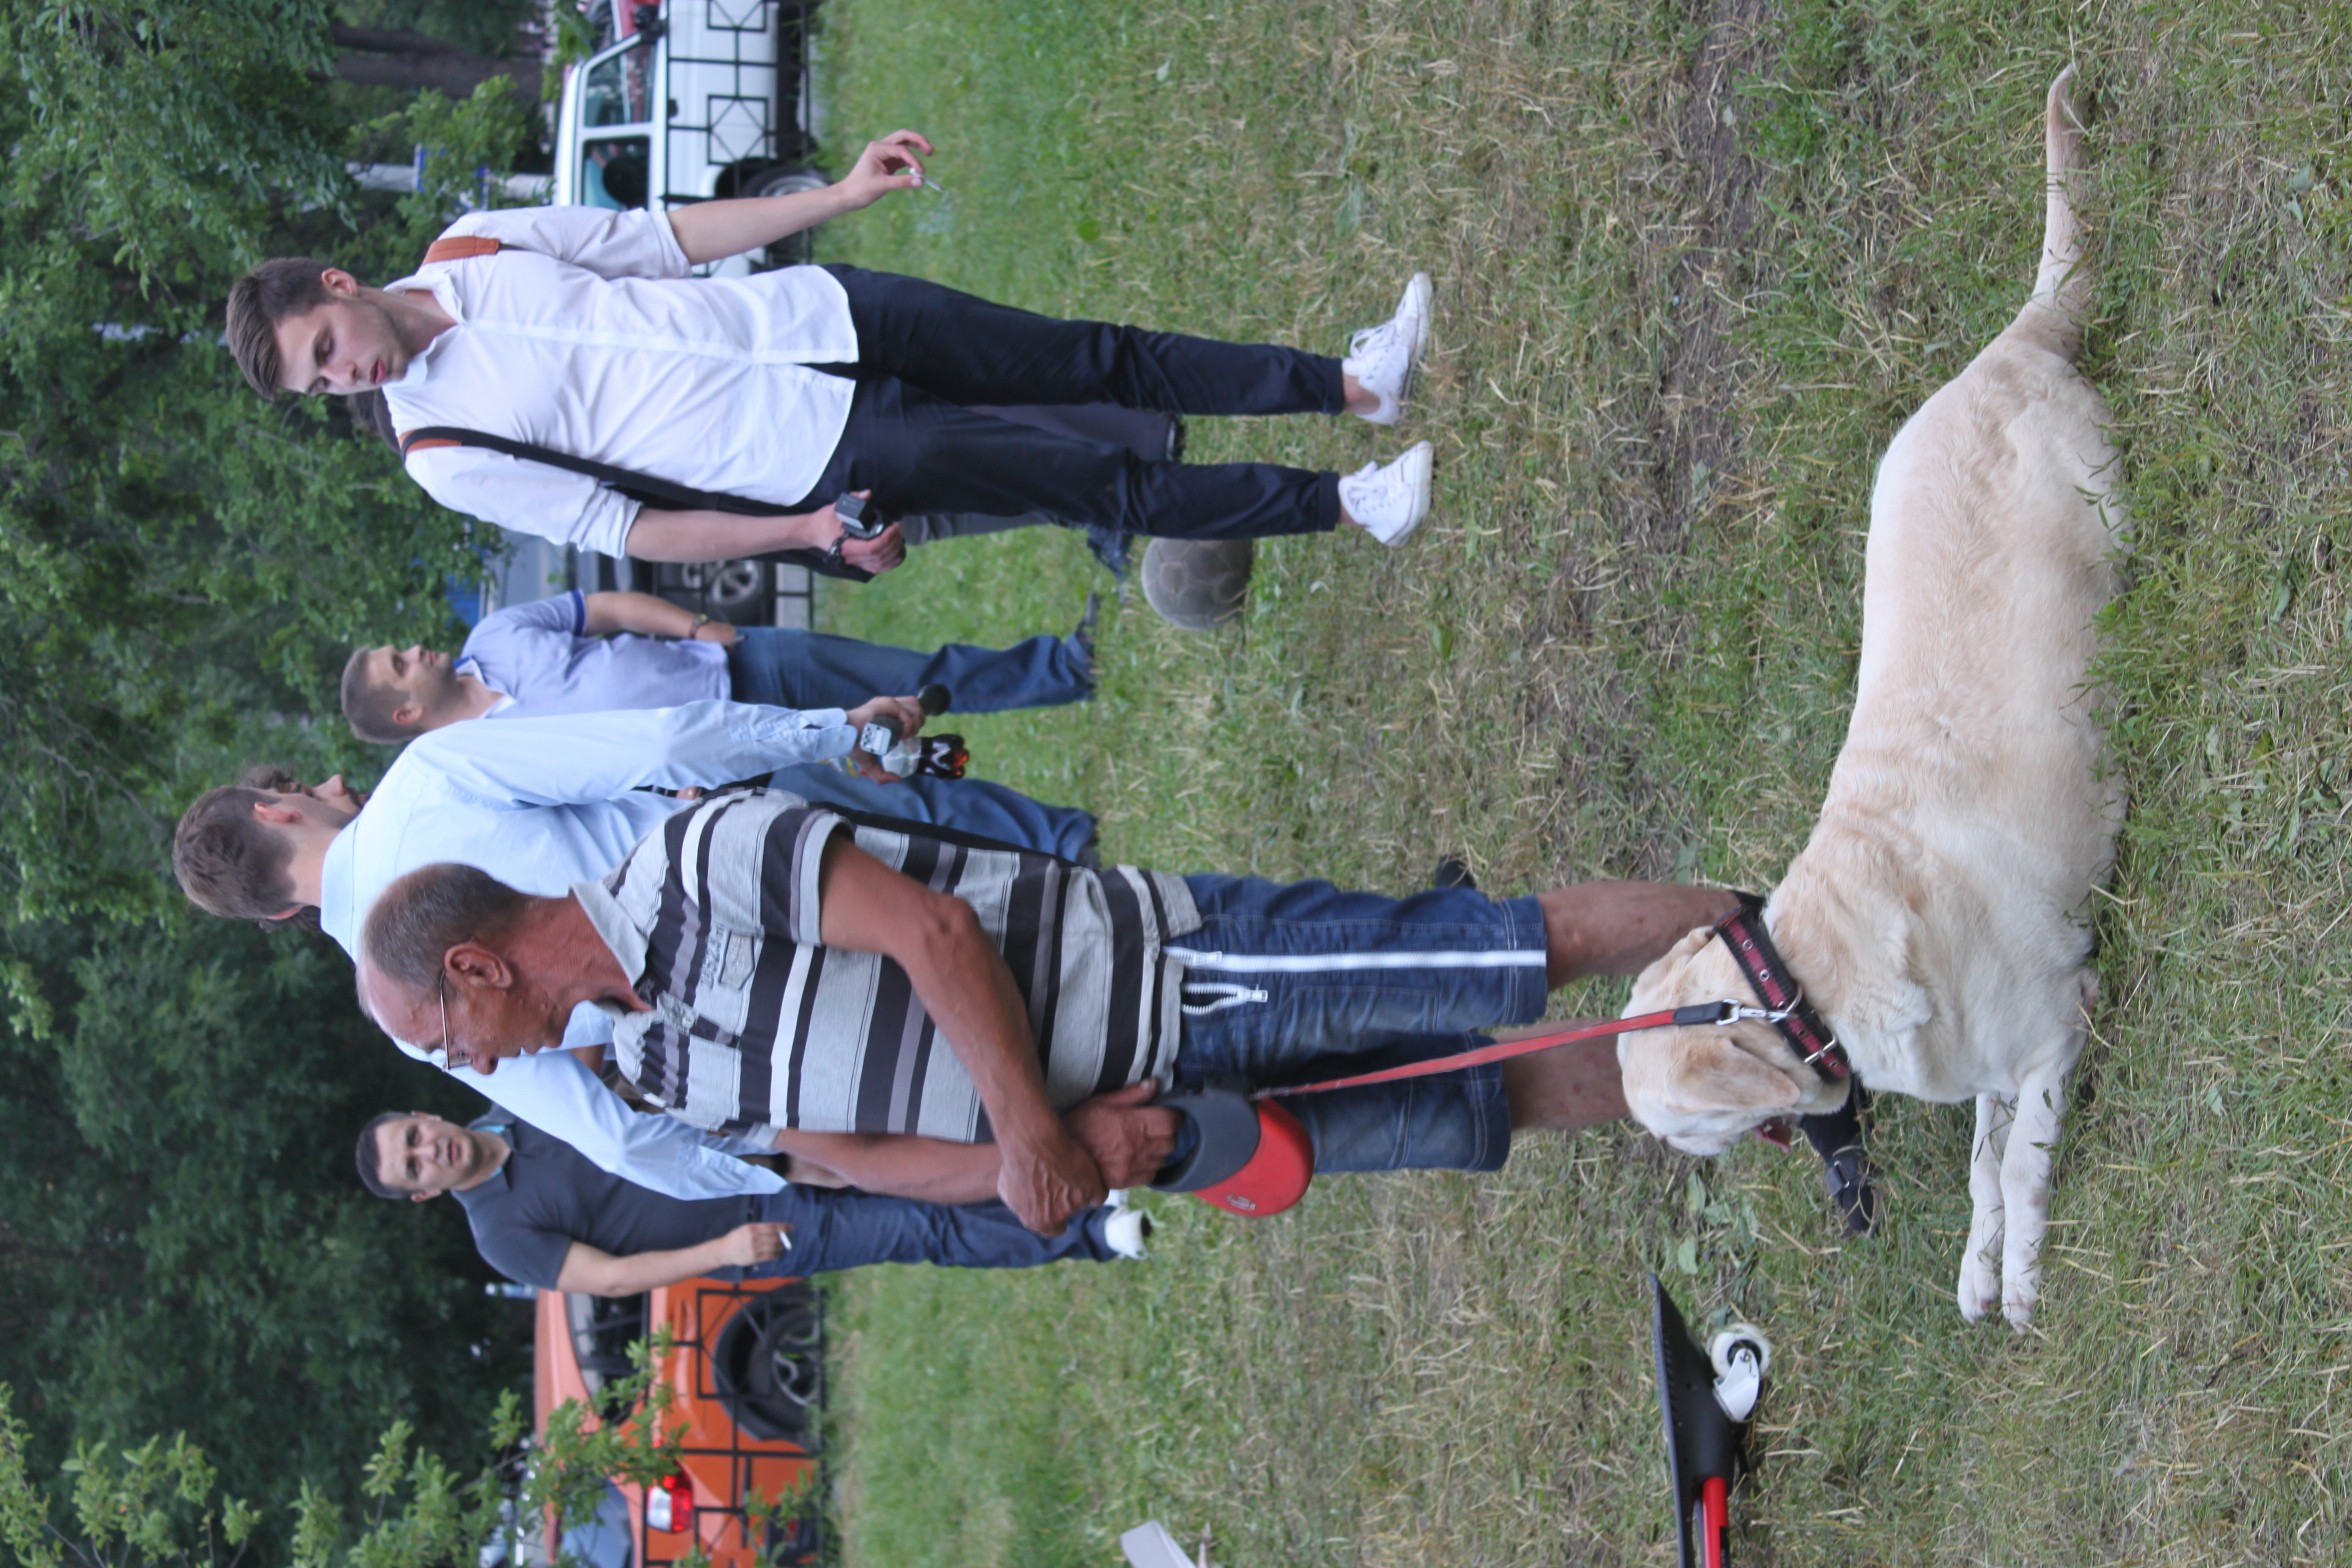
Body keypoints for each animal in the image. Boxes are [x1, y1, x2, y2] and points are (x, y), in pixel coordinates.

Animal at [1617, 67, 2125, 1330]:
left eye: (1682, 1124)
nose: (1686, 1157)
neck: (1811, 967)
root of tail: (2008, 346)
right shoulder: (1992, 1054)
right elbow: (1987, 1154)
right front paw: (1983, 1257)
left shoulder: (2055, 1022)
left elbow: (2023, 1153)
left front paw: (2024, 1266)